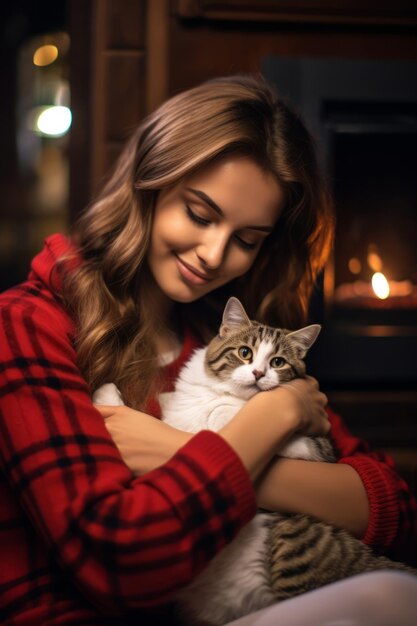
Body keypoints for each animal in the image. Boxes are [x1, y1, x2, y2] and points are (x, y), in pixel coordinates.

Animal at [92, 296, 414, 624]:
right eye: (244, 353)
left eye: (277, 362)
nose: (258, 374)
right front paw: (105, 395)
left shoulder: (315, 447)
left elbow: (226, 415)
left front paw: (221, 415)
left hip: (292, 540)